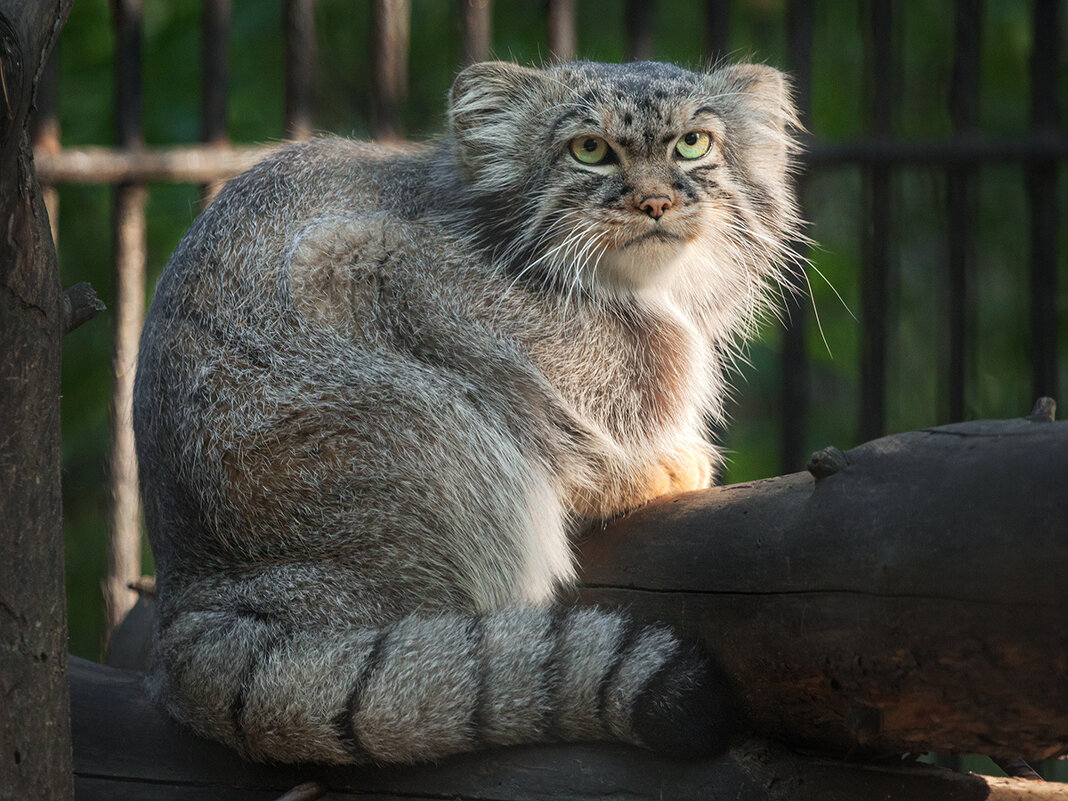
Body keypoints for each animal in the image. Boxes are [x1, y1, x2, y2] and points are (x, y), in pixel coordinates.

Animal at [133, 61, 803, 764]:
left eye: (693, 145)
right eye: (589, 150)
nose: (656, 203)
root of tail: (193, 596)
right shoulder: (373, 263)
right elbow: (545, 419)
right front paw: (639, 475)